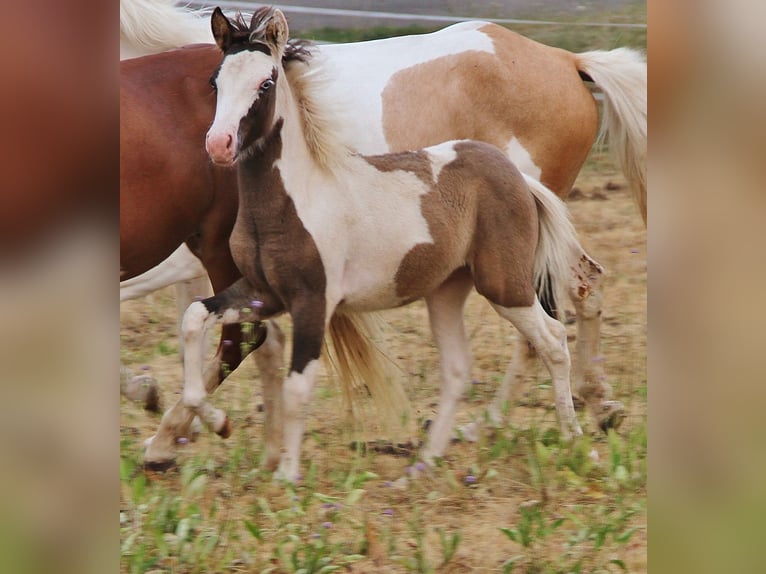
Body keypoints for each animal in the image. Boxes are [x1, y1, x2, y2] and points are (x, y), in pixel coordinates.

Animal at [122, 1, 645, 466]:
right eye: (214, 84)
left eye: (266, 83)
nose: (218, 145)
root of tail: (567, 60)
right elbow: (203, 328)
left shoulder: (196, 261)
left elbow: (241, 346)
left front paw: (172, 426)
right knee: (583, 286)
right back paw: (587, 409)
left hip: (511, 262)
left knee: (548, 327)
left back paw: (529, 426)